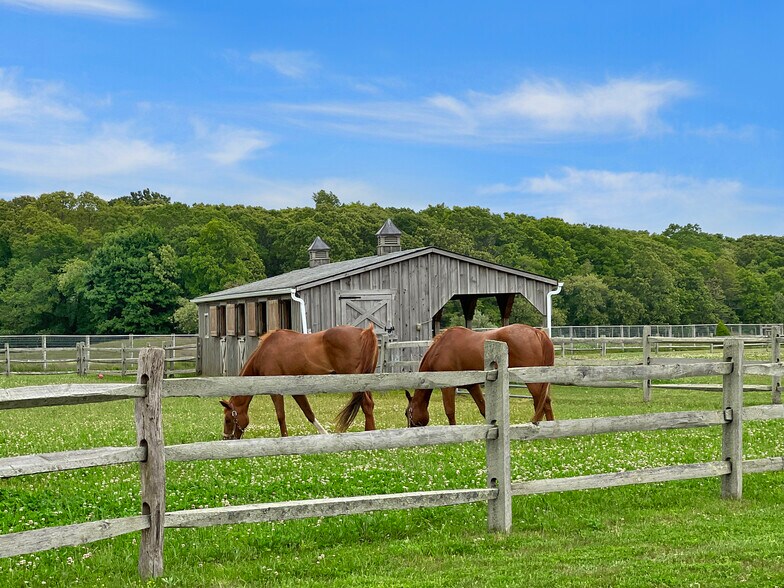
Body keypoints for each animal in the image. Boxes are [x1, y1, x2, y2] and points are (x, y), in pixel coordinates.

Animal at [220, 324, 378, 439]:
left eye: (228, 419)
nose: (226, 438)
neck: (264, 353)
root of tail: (364, 332)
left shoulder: (276, 391)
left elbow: (280, 415)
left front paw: (285, 437)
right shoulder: (296, 391)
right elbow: (309, 413)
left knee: (366, 404)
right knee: (369, 405)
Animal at [404, 324, 555, 427]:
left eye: (407, 413)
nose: (410, 428)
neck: (439, 350)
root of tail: (537, 332)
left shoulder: (448, 387)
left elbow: (450, 411)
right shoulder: (472, 386)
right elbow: (484, 409)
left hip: (532, 381)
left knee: (543, 401)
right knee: (543, 402)